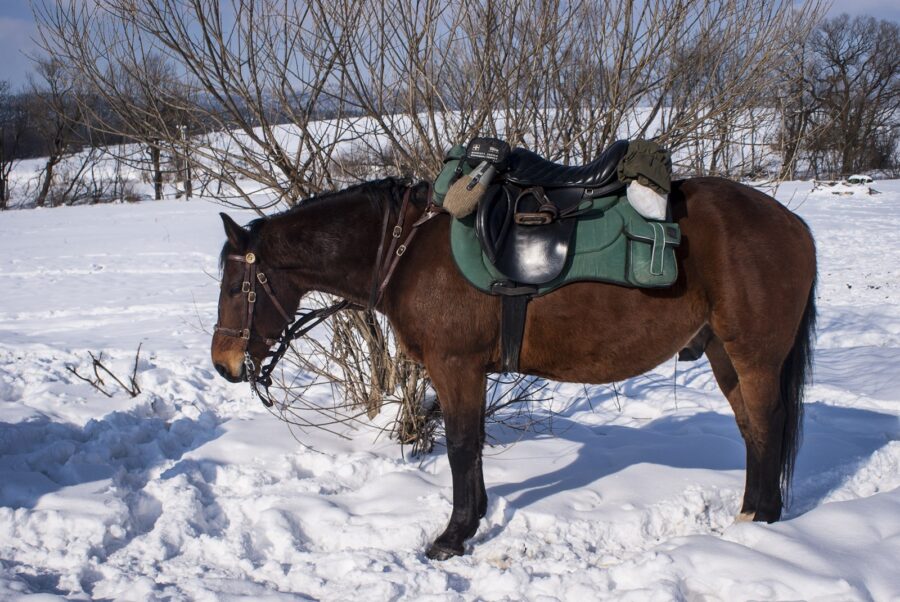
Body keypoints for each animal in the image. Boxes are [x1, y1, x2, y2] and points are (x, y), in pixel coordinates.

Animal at [211, 176, 816, 560]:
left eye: (237, 286)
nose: (223, 364)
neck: (407, 252)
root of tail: (794, 225)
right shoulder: (468, 372)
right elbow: (473, 446)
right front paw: (473, 519)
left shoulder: (454, 366)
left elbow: (459, 447)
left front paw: (452, 537)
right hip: (724, 355)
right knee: (753, 431)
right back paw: (751, 516)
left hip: (753, 357)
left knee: (766, 428)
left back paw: (759, 522)